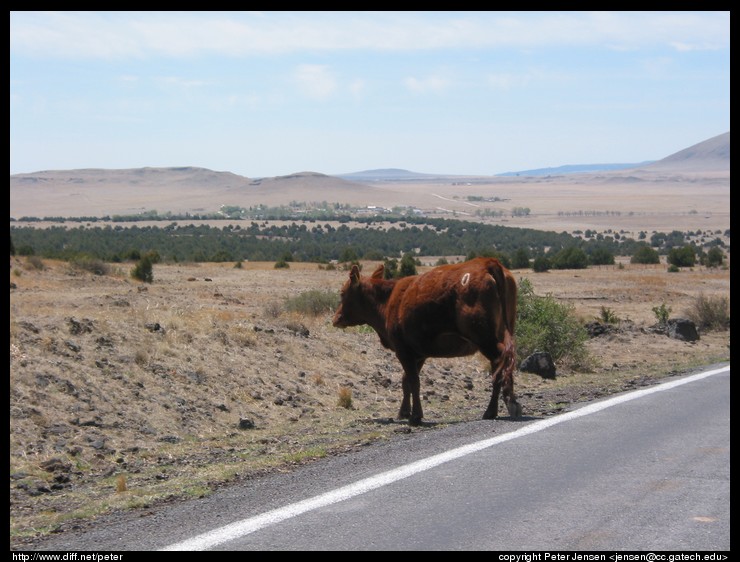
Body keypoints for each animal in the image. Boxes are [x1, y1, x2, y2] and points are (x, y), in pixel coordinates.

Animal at [332, 256, 524, 422]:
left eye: (342, 293)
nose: (336, 319)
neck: (388, 301)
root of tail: (486, 262)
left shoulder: (403, 350)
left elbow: (413, 381)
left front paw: (416, 416)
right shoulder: (419, 353)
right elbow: (406, 381)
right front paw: (403, 412)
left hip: (484, 337)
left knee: (499, 362)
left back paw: (493, 410)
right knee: (505, 362)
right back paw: (510, 404)